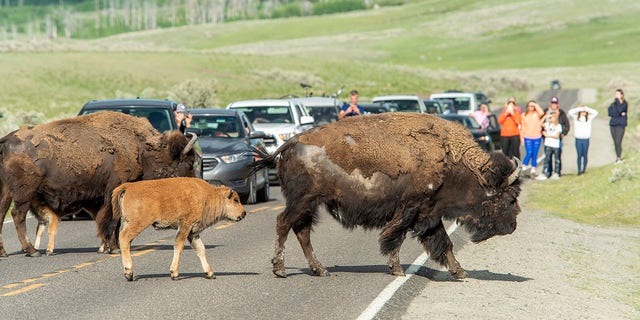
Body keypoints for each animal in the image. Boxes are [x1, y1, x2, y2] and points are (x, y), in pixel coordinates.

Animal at [0, 111, 199, 256]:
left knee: (2, 215)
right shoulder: (113, 191)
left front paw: (106, 246)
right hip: (24, 194)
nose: (194, 186)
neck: (141, 149)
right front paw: (114, 247)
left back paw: (4, 252)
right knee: (18, 215)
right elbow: (112, 220)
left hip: (6, 193)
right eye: (189, 163)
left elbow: (106, 220)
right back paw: (32, 250)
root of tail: (6, 141)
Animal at [111, 178, 246, 280]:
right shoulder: (185, 226)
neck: (207, 196)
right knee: (124, 237)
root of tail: (129, 186)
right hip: (138, 224)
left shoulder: (193, 233)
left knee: (126, 242)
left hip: (128, 222)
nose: (244, 213)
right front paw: (174, 273)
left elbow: (200, 249)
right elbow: (179, 246)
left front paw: (210, 273)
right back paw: (129, 272)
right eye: (235, 200)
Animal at [248, 114, 524, 278]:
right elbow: (395, 238)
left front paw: (460, 272)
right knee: (284, 223)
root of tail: (292, 142)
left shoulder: (429, 213)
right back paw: (280, 269)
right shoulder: (411, 209)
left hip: (310, 204)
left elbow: (443, 243)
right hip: (302, 200)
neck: (451, 159)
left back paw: (320, 269)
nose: (513, 225)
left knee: (302, 231)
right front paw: (398, 270)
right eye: (510, 198)